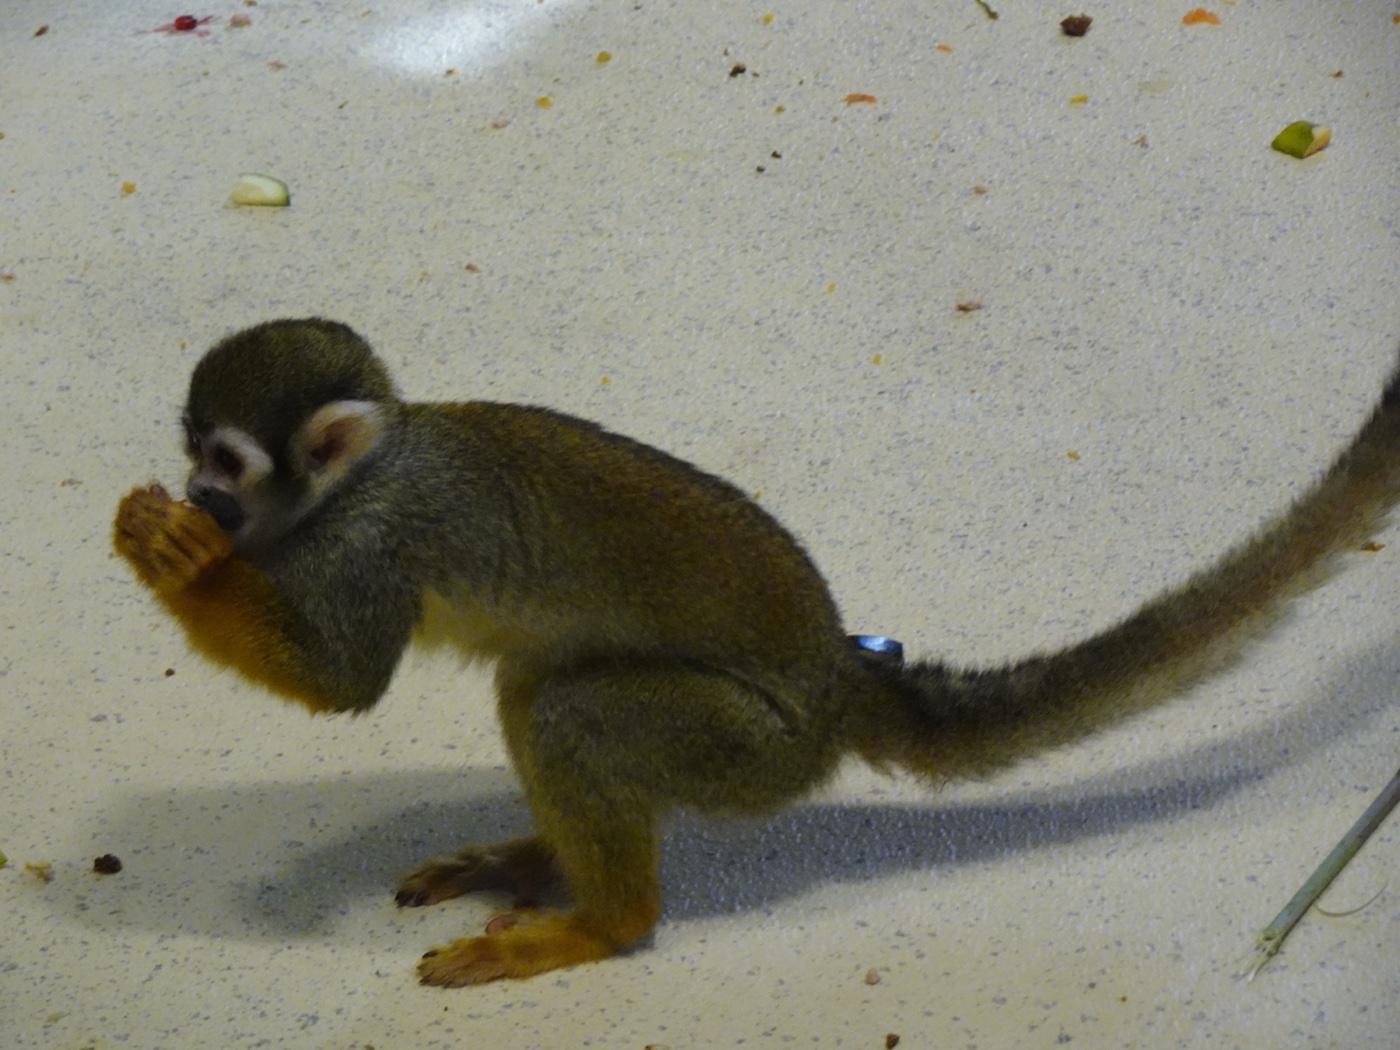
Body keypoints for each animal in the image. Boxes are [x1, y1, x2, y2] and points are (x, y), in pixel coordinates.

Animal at [113, 318, 1400, 987]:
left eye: (224, 464)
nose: (195, 493)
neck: (358, 480)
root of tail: (837, 676)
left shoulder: (373, 541)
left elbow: (343, 685)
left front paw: (178, 558)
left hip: (746, 749)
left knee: (571, 713)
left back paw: (603, 923)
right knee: (539, 688)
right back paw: (544, 863)